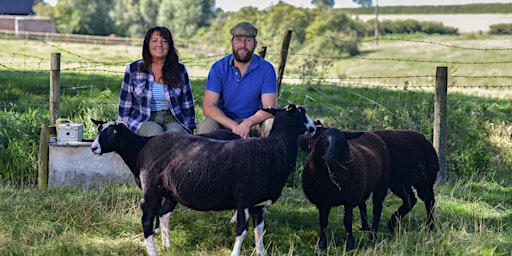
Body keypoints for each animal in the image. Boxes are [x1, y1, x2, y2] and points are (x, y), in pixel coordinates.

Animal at [92, 104, 316, 256]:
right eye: (302, 113)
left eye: (112, 131)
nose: (315, 127)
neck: (275, 148)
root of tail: (149, 146)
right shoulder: (244, 199)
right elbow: (242, 230)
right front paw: (235, 253)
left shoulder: (258, 203)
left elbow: (259, 229)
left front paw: (261, 252)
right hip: (153, 188)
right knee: (147, 219)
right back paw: (153, 251)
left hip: (170, 191)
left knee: (163, 214)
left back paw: (167, 245)